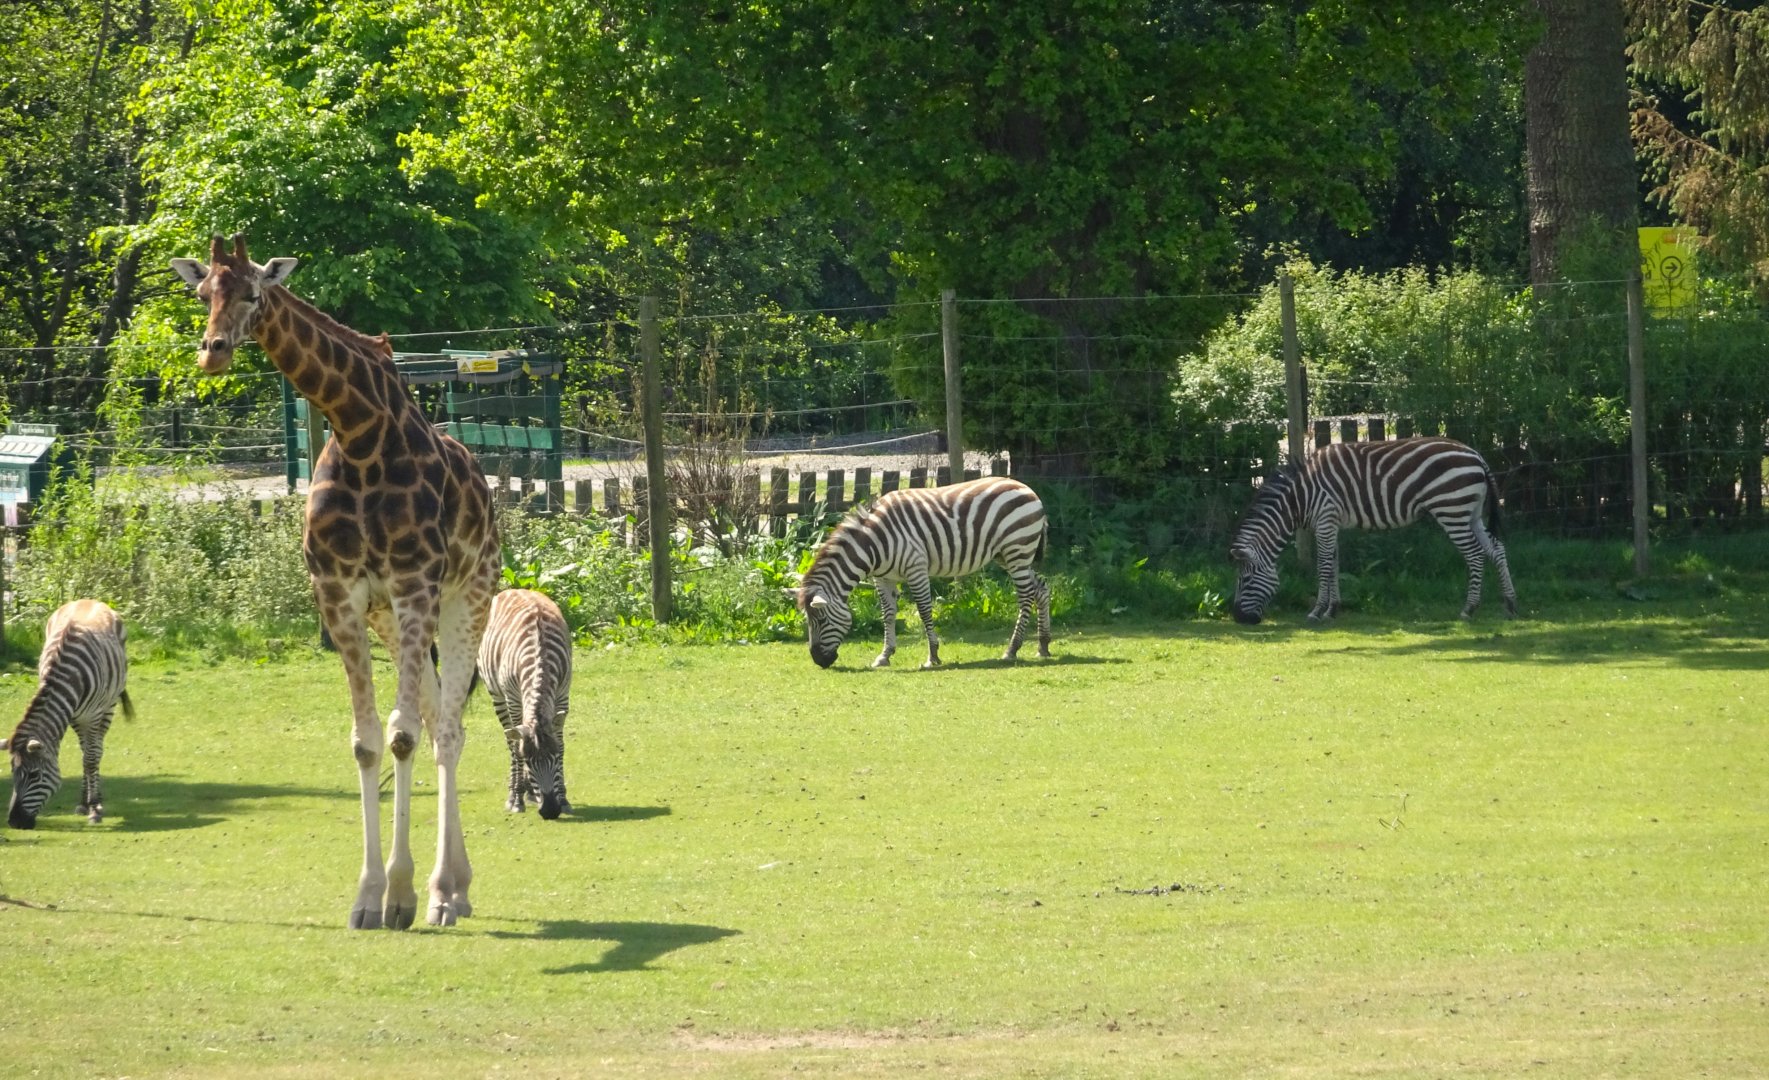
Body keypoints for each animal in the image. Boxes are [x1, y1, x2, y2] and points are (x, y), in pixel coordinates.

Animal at [5, 599, 133, 829]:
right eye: (12, 773)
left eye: (34, 775)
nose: (14, 822)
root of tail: (90, 599)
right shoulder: (71, 715)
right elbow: (84, 756)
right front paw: (86, 804)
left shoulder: (92, 715)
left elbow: (91, 758)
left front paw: (94, 808)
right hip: (80, 719)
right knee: (86, 751)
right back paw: (84, 801)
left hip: (108, 706)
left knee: (96, 751)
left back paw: (96, 801)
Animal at [171, 234, 500, 930]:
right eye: (202, 290)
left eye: (254, 292)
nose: (212, 352)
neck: (357, 433)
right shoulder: (342, 597)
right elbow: (369, 742)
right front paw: (368, 897)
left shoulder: (414, 585)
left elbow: (400, 736)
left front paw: (400, 895)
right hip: (393, 617)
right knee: (436, 715)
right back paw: (453, 885)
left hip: (468, 596)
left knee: (448, 729)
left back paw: (446, 893)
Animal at [476, 588, 573, 819]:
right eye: (528, 762)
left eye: (555, 758)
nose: (550, 811)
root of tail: (514, 589)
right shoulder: (513, 698)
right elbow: (516, 747)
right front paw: (517, 799)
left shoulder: (563, 693)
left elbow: (561, 742)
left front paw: (564, 798)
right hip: (498, 695)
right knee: (510, 740)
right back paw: (516, 793)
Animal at [796, 475, 1051, 669]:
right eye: (808, 620)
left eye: (821, 619)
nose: (818, 661)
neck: (873, 544)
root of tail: (1028, 489)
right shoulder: (883, 578)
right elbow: (888, 614)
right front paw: (884, 655)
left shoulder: (915, 568)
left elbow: (924, 610)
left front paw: (933, 656)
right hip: (1008, 556)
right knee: (1041, 589)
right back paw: (1043, 645)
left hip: (1017, 551)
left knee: (1026, 597)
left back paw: (1012, 649)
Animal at [1229, 436, 1518, 625]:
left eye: (1246, 579)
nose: (1239, 618)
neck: (1299, 498)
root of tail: (1476, 455)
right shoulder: (1331, 523)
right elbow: (1333, 565)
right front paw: (1332, 610)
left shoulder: (1324, 520)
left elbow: (1323, 566)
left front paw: (1316, 612)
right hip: (1471, 512)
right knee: (1497, 549)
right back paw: (1510, 604)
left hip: (1451, 509)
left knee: (1475, 555)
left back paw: (1469, 609)